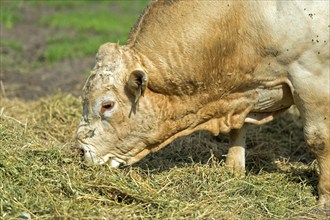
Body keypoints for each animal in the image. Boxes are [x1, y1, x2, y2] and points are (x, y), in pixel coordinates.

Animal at [75, 0, 330, 207]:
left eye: (107, 105)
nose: (79, 151)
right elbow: (237, 130)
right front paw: (233, 171)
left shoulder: (311, 76)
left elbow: (318, 139)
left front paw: (324, 198)